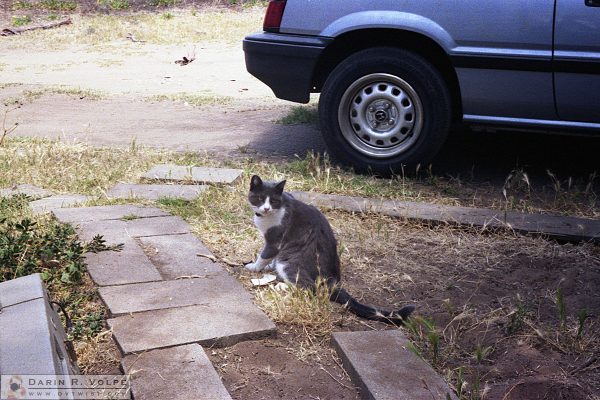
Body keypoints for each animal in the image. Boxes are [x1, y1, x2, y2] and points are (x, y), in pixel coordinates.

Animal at [246, 176, 414, 324]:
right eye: (260, 198)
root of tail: (333, 281)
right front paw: (268, 266)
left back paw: (283, 287)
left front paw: (254, 267)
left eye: (273, 201)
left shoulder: (275, 240)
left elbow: (265, 255)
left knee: (310, 288)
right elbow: (270, 257)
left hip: (289, 262)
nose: (266, 208)